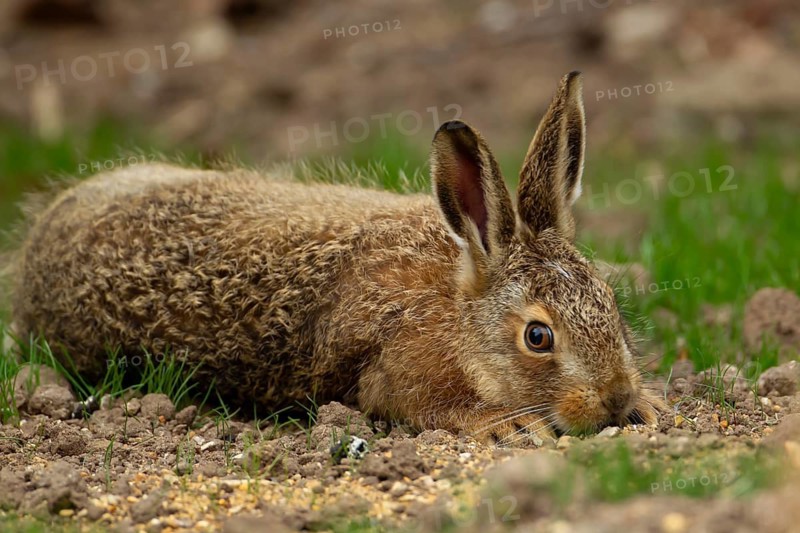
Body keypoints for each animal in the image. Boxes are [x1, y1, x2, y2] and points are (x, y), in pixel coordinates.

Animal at [5, 71, 663, 444]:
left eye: (610, 303)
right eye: (537, 337)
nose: (615, 400)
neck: (459, 309)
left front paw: (651, 405)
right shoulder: (394, 369)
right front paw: (512, 423)